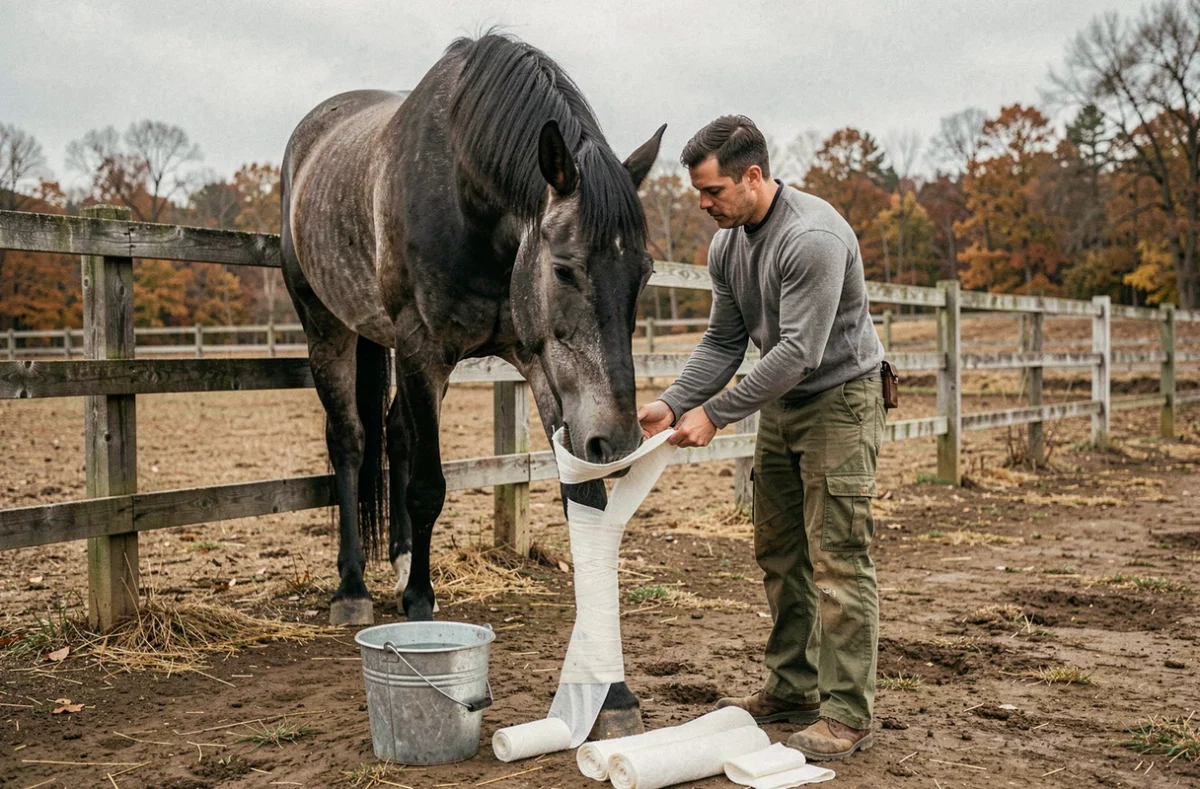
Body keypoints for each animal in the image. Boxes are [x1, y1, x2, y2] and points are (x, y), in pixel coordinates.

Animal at [280, 34, 665, 737]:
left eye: (645, 273)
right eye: (564, 269)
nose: (619, 439)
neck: (469, 200)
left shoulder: (539, 365)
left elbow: (582, 502)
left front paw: (612, 692)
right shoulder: (422, 349)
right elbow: (429, 488)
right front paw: (419, 609)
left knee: (397, 434)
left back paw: (401, 559)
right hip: (327, 326)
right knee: (350, 440)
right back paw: (353, 588)